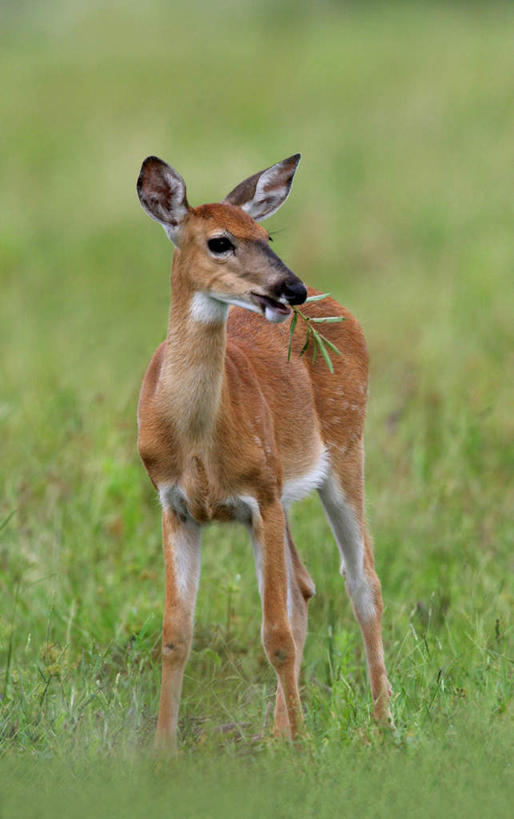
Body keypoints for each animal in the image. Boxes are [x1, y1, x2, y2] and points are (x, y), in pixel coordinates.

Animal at [134, 152, 390, 748]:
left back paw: (382, 724)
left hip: (345, 450)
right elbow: (175, 634)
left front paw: (304, 749)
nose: (290, 289)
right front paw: (162, 750)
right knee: (304, 589)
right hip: (287, 489)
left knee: (360, 581)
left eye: (268, 234)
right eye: (220, 241)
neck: (197, 441)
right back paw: (277, 734)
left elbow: (274, 634)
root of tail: (336, 302)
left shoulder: (260, 496)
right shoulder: (175, 505)